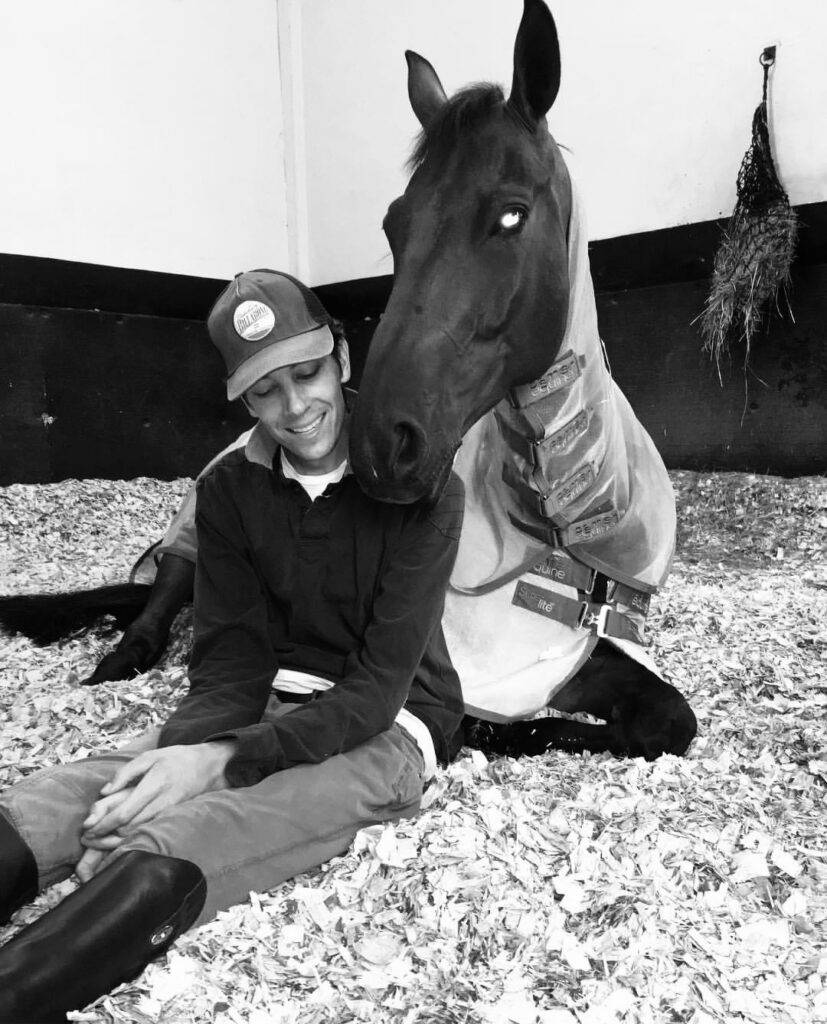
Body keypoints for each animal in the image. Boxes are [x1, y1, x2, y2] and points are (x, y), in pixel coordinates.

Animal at [0, 0, 696, 761]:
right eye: (394, 224)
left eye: (511, 214)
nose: (380, 445)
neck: (558, 525)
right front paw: (493, 729)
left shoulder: (573, 655)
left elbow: (668, 719)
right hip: (194, 536)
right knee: (162, 596)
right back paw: (120, 656)